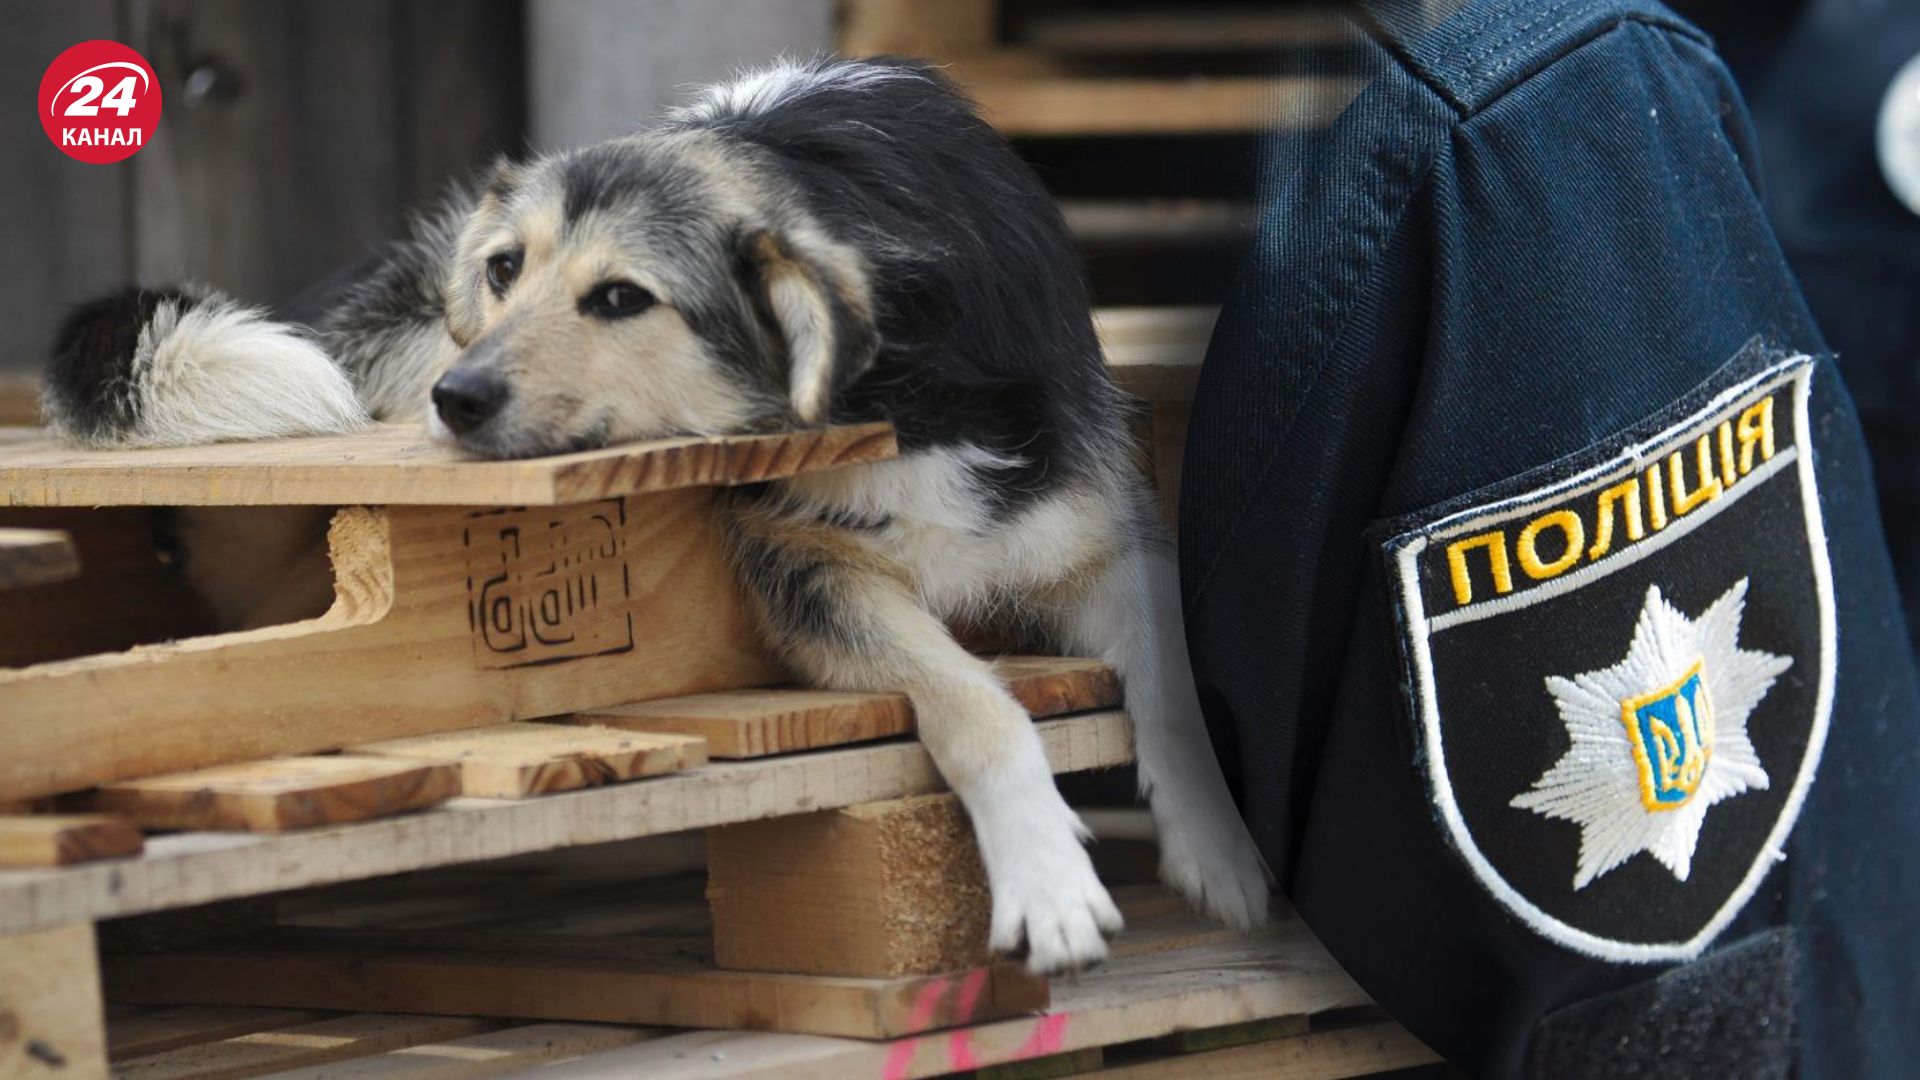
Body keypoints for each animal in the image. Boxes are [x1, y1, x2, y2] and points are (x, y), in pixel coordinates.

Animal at [37, 56, 1267, 968]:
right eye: (505, 271)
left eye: (623, 297)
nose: (458, 401)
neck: (894, 382)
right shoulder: (804, 570)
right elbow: (978, 704)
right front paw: (1048, 881)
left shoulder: (1100, 531)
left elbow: (1180, 682)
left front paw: (1222, 853)